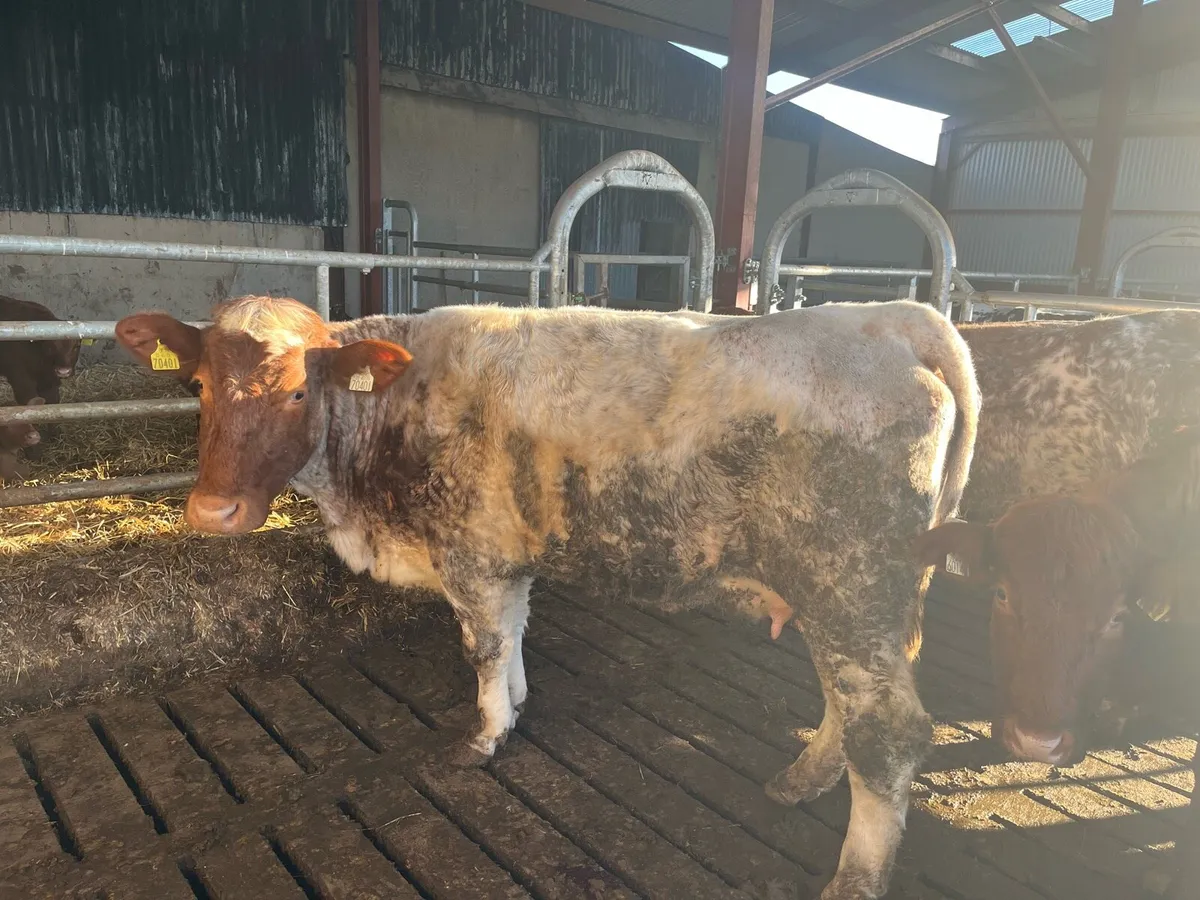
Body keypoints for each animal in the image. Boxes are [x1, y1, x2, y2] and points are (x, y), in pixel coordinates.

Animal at [0, 296, 82, 458]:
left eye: (76, 346)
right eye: (51, 346)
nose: (63, 371)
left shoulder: (50, 381)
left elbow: (53, 405)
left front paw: (56, 436)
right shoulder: (22, 383)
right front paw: (33, 452)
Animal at [115, 295, 980, 900]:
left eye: (297, 393)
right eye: (198, 385)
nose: (214, 511)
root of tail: (893, 316)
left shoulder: (471, 556)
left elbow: (484, 646)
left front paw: (486, 734)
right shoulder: (509, 557)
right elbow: (517, 633)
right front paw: (519, 702)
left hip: (849, 582)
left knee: (889, 731)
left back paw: (853, 878)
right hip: (858, 597)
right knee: (851, 706)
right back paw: (803, 778)